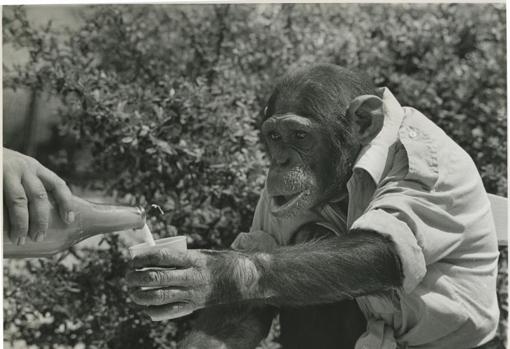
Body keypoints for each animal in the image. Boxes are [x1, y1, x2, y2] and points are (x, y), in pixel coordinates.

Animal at [125, 63, 500, 348]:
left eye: (300, 136)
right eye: (275, 137)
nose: (280, 161)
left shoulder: (425, 162)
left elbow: (389, 243)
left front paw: (217, 272)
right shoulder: (269, 200)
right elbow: (243, 304)